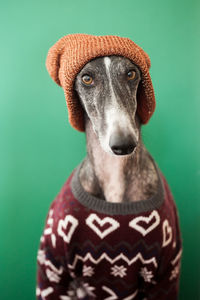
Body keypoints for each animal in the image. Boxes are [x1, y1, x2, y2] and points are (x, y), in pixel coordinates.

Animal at [36, 34, 182, 298]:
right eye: (87, 78)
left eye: (131, 73)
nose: (123, 144)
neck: (114, 174)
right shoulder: (53, 271)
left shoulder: (166, 275)